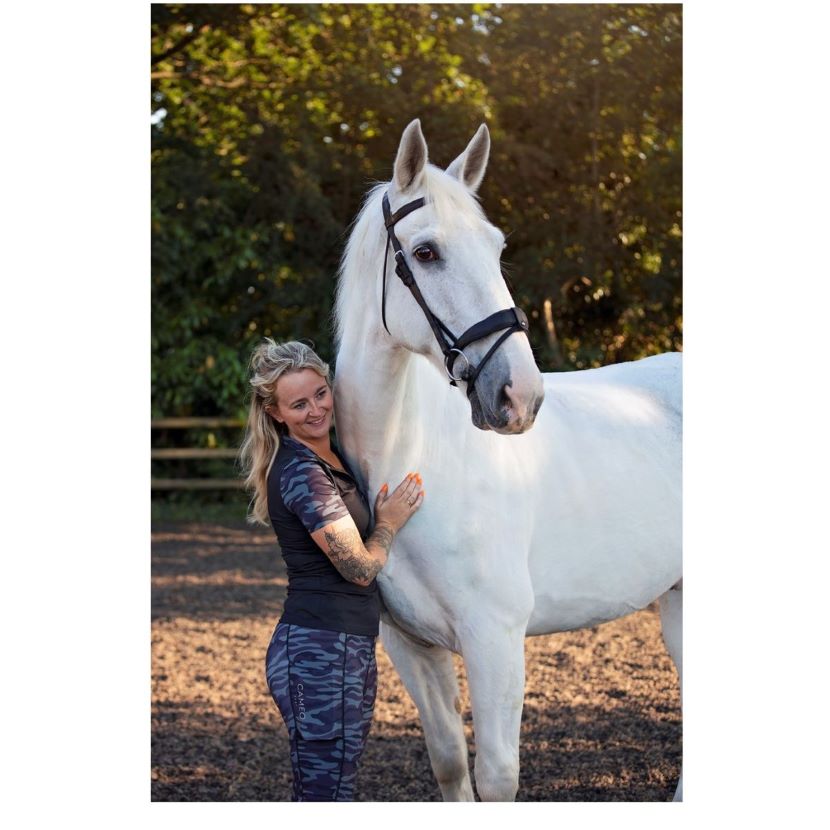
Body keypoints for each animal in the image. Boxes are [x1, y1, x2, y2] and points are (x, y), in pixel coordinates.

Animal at [332, 120, 684, 804]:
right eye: (426, 253)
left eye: (496, 250)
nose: (520, 396)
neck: (414, 462)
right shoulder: (411, 646)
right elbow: (449, 763)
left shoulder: (495, 640)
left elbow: (496, 778)